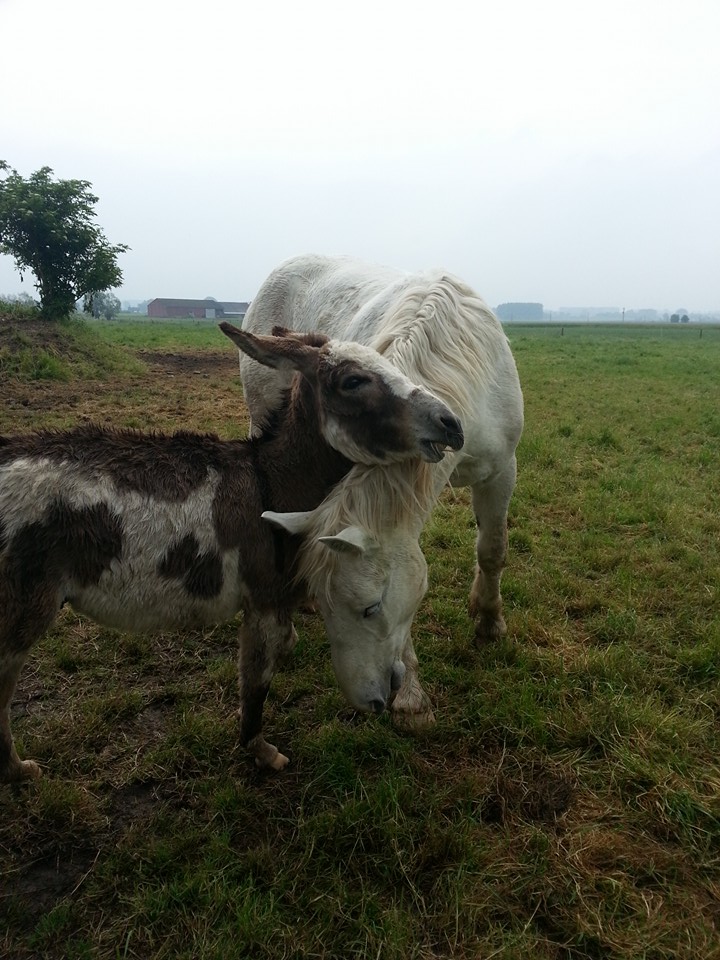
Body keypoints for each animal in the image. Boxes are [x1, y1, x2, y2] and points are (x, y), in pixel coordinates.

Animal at [242, 255, 524, 728]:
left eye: (371, 608)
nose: (367, 699)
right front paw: (412, 698)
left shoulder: (501, 470)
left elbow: (492, 550)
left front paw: (489, 623)